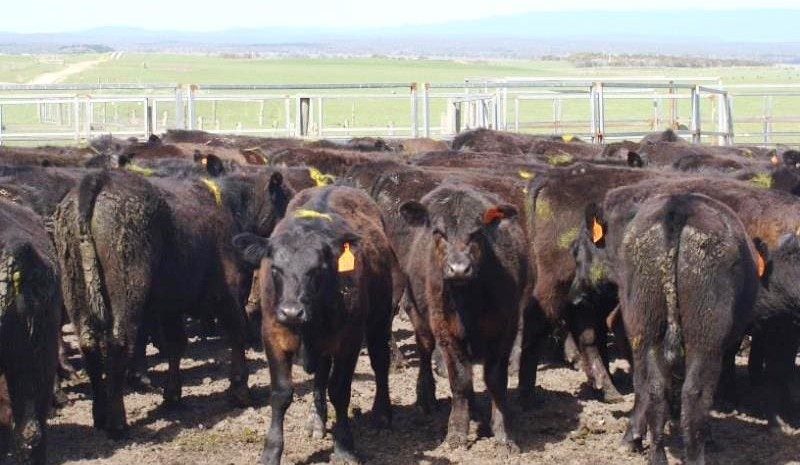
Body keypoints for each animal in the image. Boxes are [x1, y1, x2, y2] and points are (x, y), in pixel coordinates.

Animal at [233, 185, 396, 465]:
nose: (291, 312)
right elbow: (281, 393)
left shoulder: (350, 339)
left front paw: (344, 445)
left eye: (317, 269)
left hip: (380, 319)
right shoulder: (272, 334)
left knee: (380, 361)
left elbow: (340, 390)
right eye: (275, 269)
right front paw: (271, 451)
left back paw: (382, 413)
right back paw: (317, 418)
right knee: (321, 372)